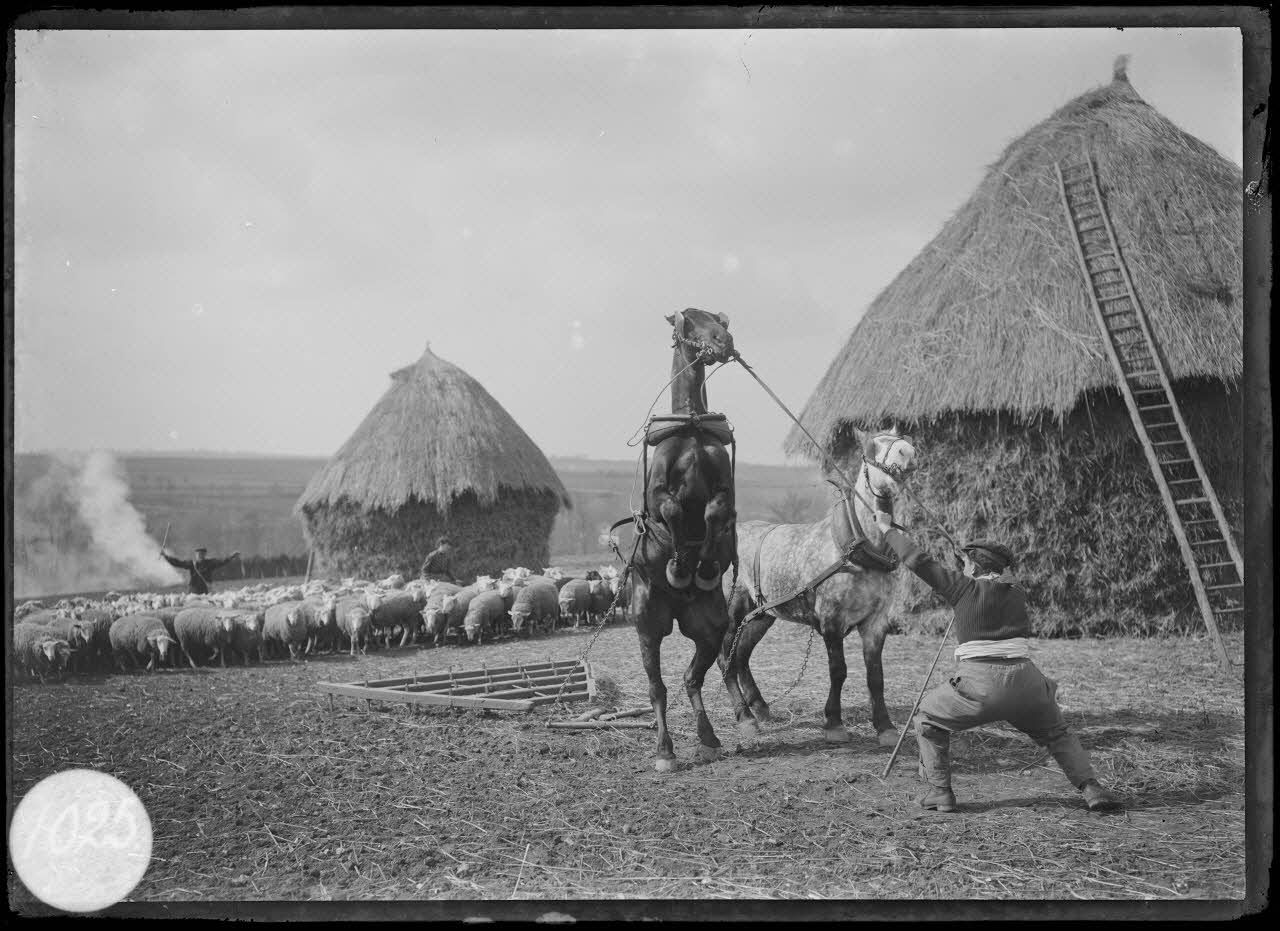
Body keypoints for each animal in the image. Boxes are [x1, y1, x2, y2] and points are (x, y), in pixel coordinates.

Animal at [625, 308, 750, 772]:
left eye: (717, 319)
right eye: (688, 322)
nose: (724, 342)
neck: (692, 425)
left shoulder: (723, 487)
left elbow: (714, 513)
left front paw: (707, 562)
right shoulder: (660, 490)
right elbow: (675, 511)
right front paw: (680, 562)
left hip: (708, 626)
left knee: (692, 676)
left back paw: (710, 736)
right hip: (648, 624)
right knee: (658, 687)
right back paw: (665, 749)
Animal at [719, 429, 918, 748]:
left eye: (901, 440)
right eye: (870, 448)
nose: (908, 453)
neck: (853, 550)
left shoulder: (876, 622)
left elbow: (876, 676)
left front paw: (885, 727)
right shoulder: (831, 620)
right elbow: (838, 671)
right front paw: (834, 724)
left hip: (762, 615)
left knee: (741, 656)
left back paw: (759, 707)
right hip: (732, 611)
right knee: (726, 658)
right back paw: (745, 718)